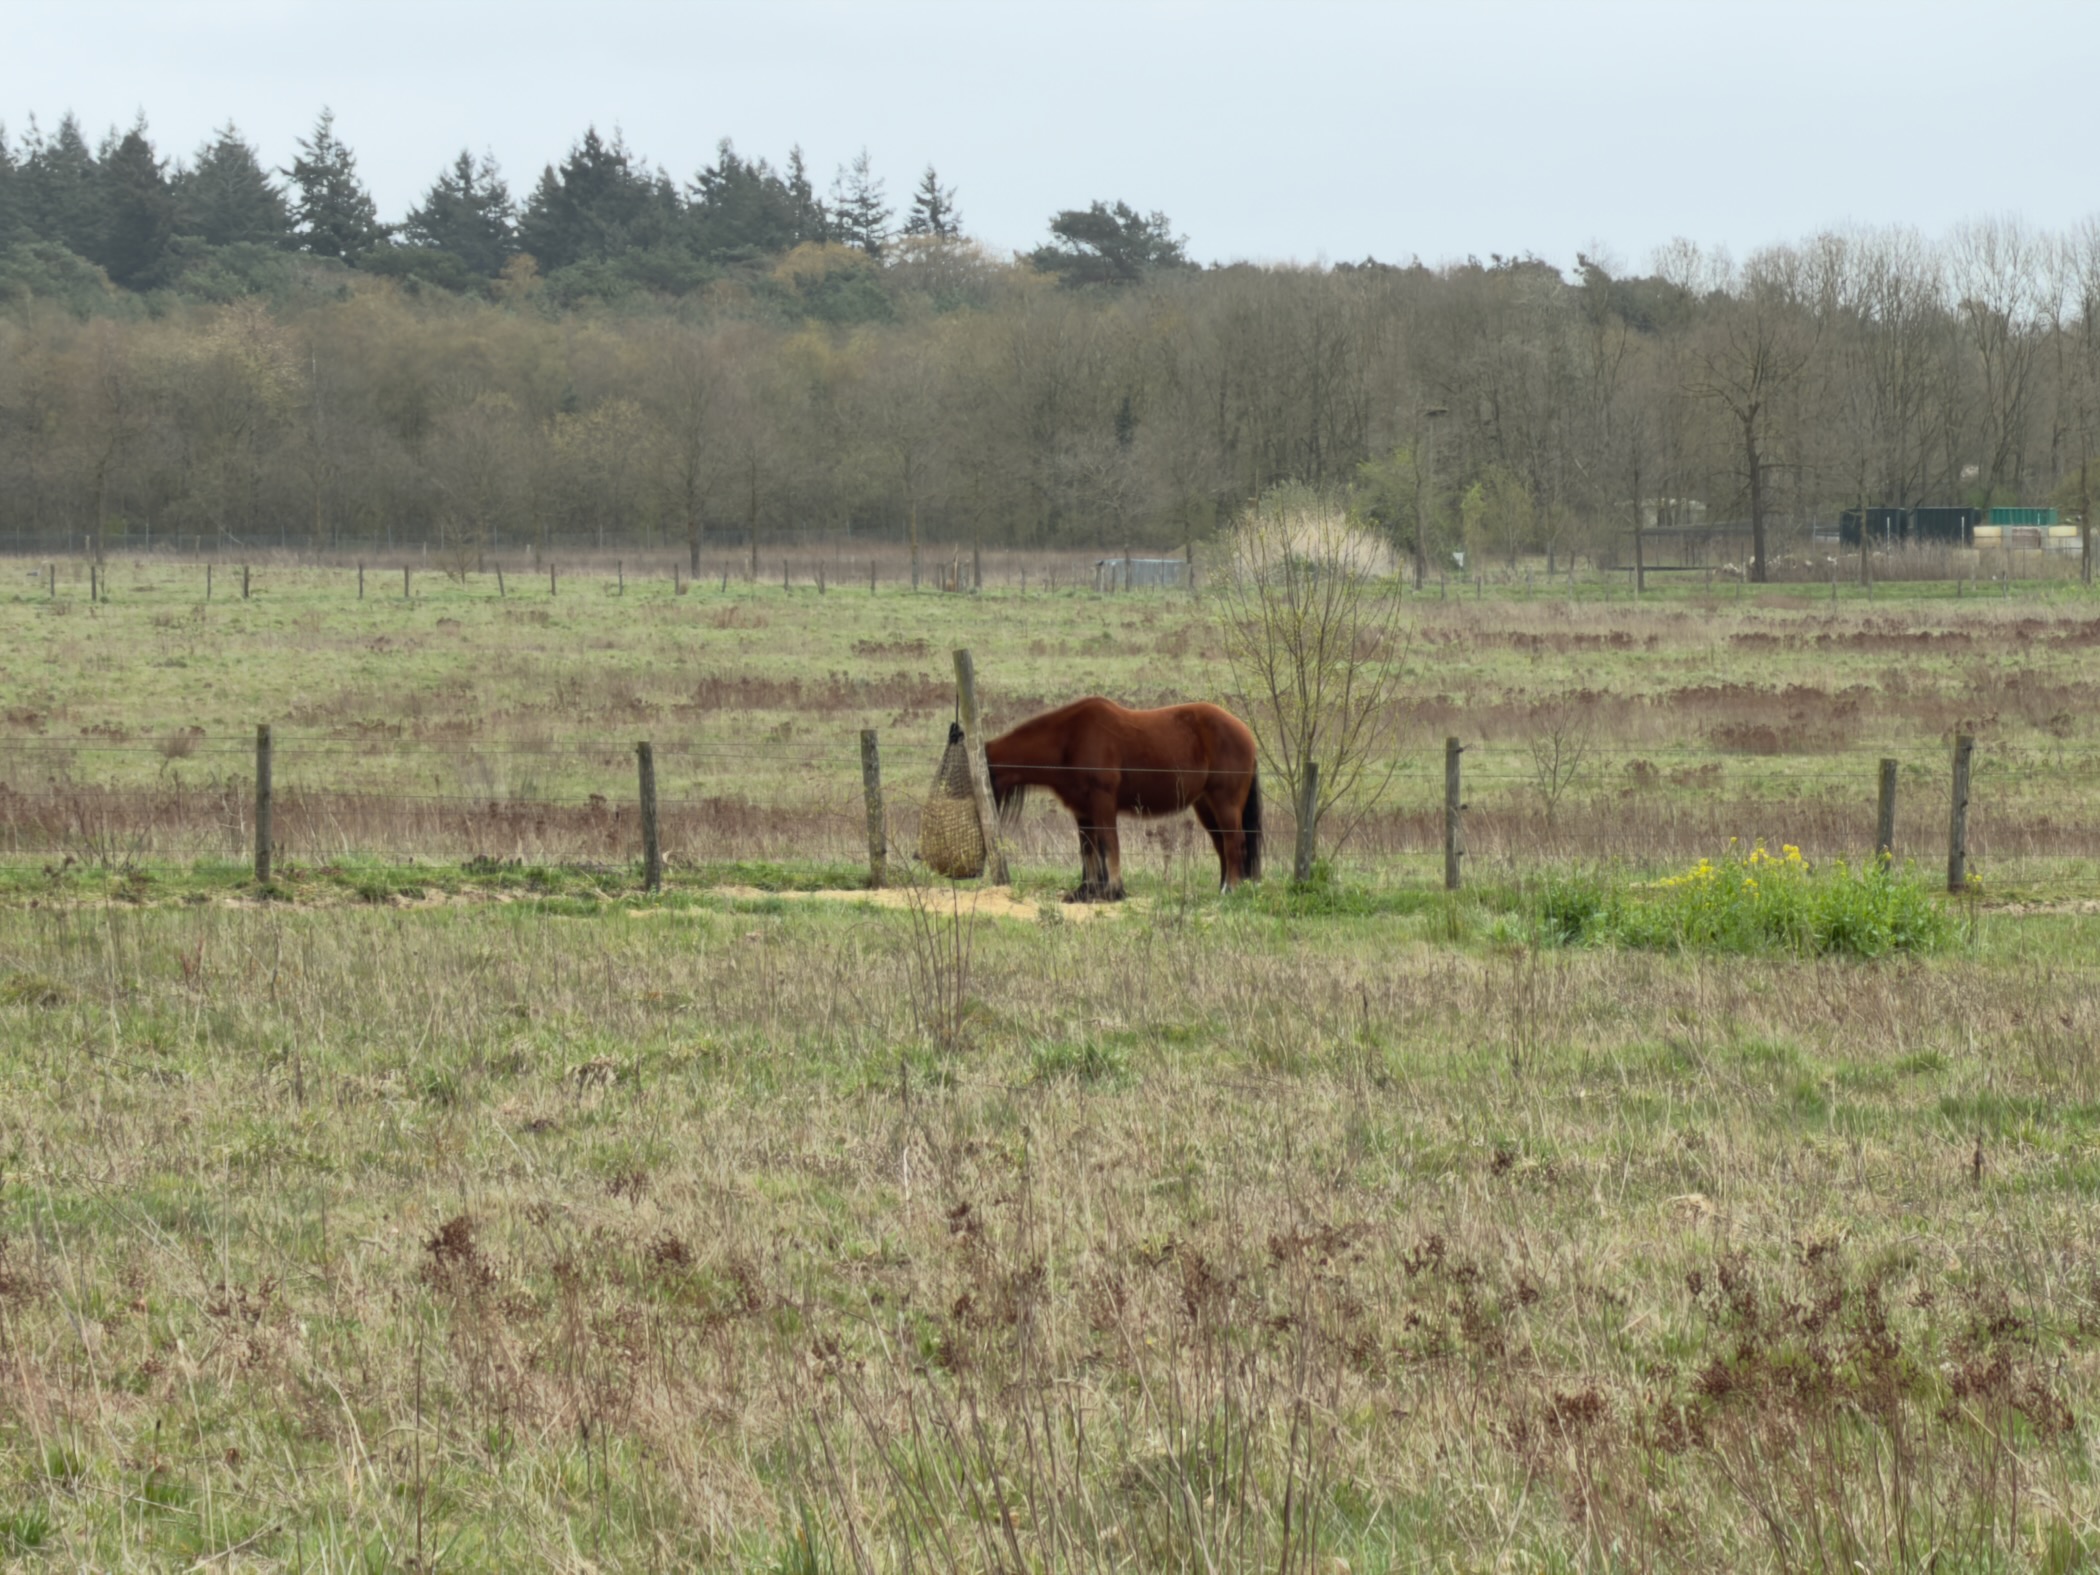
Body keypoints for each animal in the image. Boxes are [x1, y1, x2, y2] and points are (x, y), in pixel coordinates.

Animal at [984, 697, 1262, 901]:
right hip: (1205, 805)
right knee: (1221, 844)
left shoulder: (1103, 802)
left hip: (1225, 803)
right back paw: (1223, 887)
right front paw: (1086, 891)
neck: (1071, 738)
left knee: (1234, 842)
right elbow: (1088, 849)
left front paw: (1113, 891)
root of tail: (1245, 731)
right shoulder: (1083, 811)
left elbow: (1109, 845)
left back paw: (1231, 889)